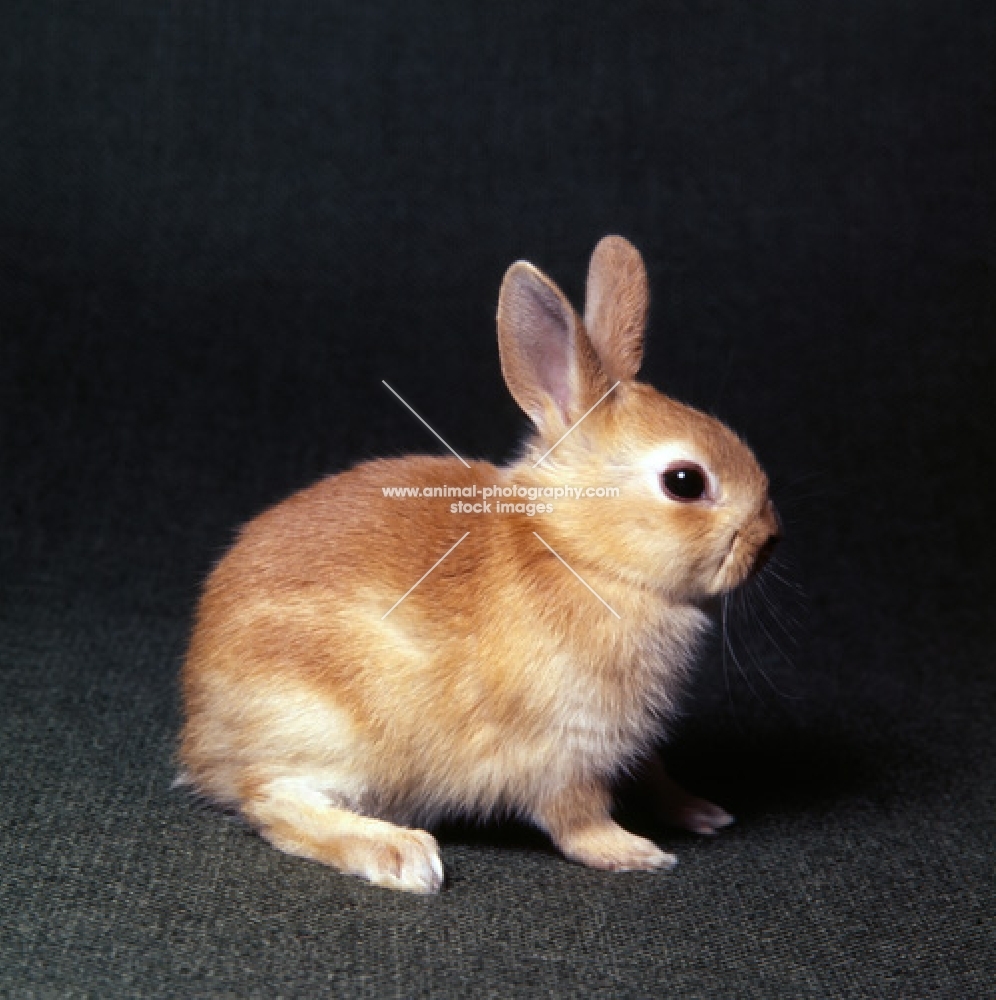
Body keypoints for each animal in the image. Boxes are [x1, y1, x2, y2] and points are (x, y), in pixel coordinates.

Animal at [183, 234, 784, 892]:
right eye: (684, 482)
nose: (769, 537)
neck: (578, 554)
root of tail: (201, 729)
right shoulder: (562, 750)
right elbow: (577, 818)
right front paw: (635, 852)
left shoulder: (627, 741)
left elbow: (653, 774)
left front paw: (702, 812)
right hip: (325, 728)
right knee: (271, 802)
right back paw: (404, 855)